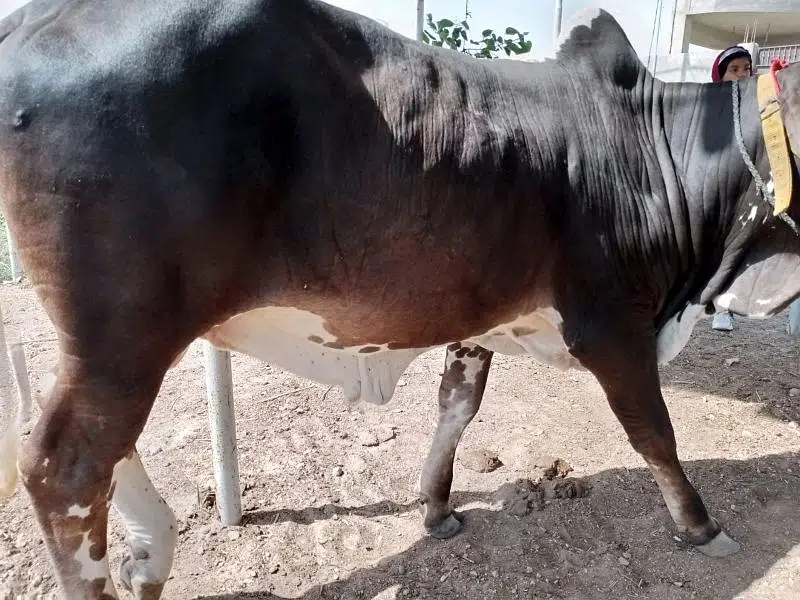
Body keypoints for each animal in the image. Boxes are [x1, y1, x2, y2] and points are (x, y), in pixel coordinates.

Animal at [1, 0, 800, 598]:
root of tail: (36, 18)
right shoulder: (613, 323)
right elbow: (655, 432)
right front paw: (701, 525)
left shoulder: (480, 315)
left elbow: (458, 407)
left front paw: (436, 507)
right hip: (126, 334)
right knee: (64, 466)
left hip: (114, 343)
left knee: (95, 449)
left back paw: (151, 554)